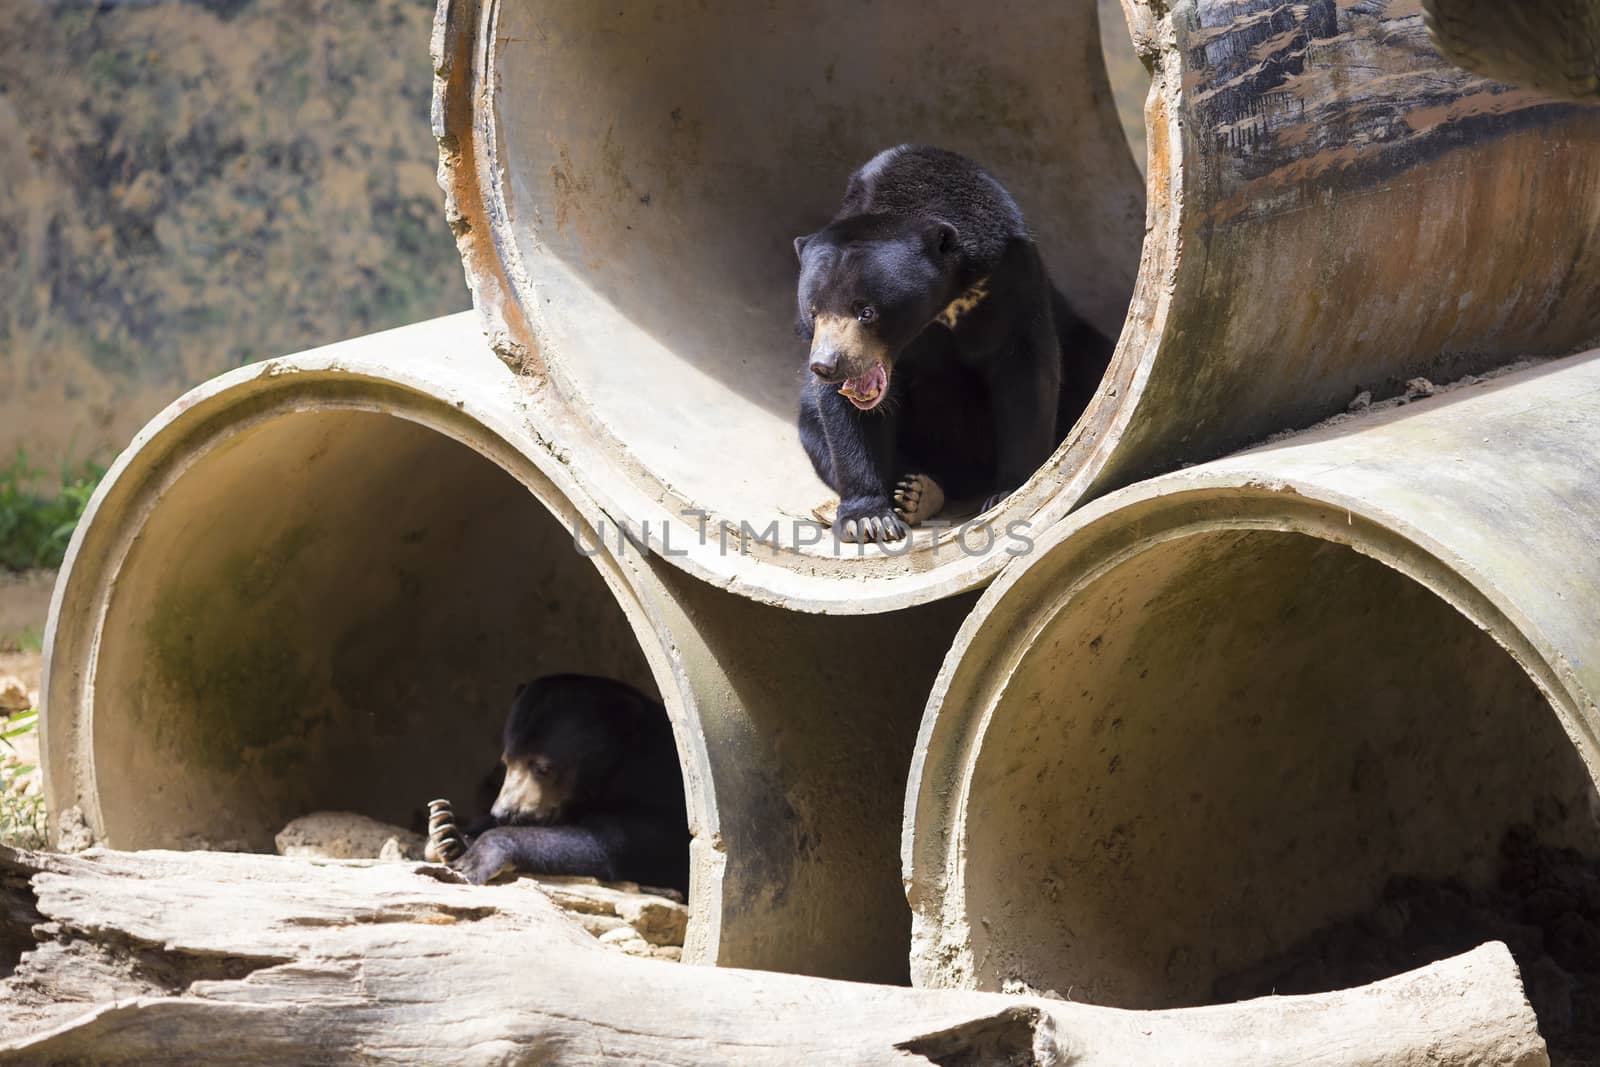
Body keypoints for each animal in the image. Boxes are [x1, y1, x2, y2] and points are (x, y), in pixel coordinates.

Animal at [451, 675, 688, 895]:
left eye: (542, 768)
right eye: (506, 761)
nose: (503, 813)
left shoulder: (658, 793)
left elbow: (609, 842)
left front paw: (475, 855)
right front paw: (452, 834)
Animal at [790, 144, 1113, 543]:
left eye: (866, 311)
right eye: (813, 311)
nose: (826, 364)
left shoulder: (1011, 278)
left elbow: (1026, 373)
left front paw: (1011, 491)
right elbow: (845, 413)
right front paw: (868, 519)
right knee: (813, 424)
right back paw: (916, 492)